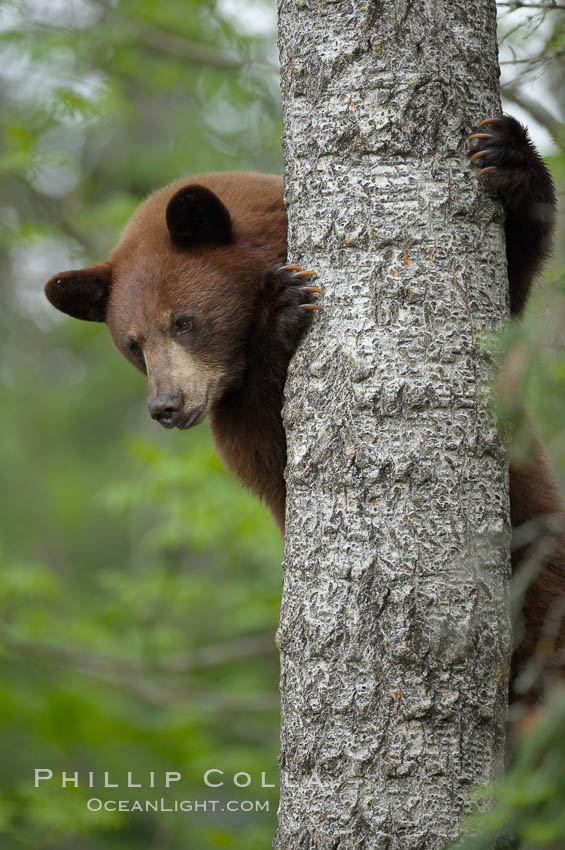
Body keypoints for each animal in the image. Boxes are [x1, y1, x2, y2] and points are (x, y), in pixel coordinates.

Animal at [44, 114, 560, 696]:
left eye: (183, 322)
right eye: (133, 345)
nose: (166, 406)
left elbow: (507, 290)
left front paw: (506, 154)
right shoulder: (235, 422)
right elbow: (273, 453)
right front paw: (281, 308)